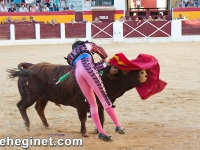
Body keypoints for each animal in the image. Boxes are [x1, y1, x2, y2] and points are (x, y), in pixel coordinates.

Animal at [7, 62, 147, 137]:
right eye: (125, 71)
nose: (143, 73)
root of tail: (30, 67)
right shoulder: (81, 105)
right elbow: (83, 118)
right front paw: (84, 133)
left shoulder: (100, 104)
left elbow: (101, 118)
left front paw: (99, 131)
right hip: (29, 96)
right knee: (21, 106)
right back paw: (27, 126)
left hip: (42, 97)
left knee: (39, 108)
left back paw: (46, 125)